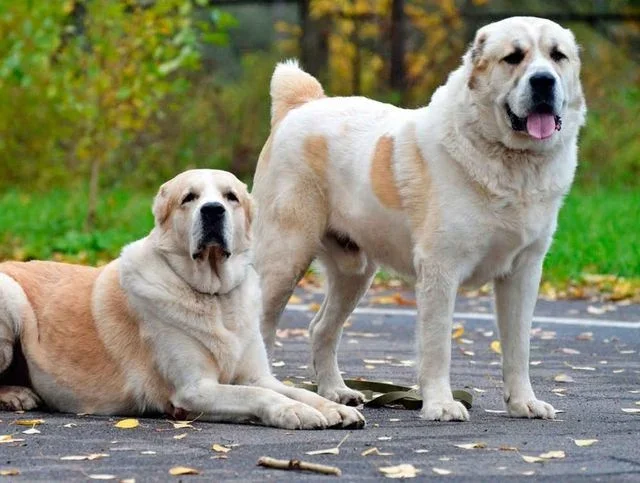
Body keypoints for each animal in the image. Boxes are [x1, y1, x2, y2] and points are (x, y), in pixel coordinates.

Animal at [0, 170, 362, 432]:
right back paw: (16, 394)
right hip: (10, 295)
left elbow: (291, 388)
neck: (214, 296)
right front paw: (293, 411)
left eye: (230, 197)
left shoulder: (257, 375)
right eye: (189, 197)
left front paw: (334, 407)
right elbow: (257, 394)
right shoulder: (194, 389)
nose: (213, 210)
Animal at [252, 17, 588, 422]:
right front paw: (441, 405)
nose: (543, 81)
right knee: (262, 328)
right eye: (513, 57)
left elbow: (518, 346)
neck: (511, 164)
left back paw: (337, 392)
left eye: (558, 56)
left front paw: (524, 402)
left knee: (321, 329)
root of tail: (302, 105)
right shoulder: (441, 269)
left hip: (355, 273)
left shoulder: (523, 272)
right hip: (285, 258)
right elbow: (437, 345)